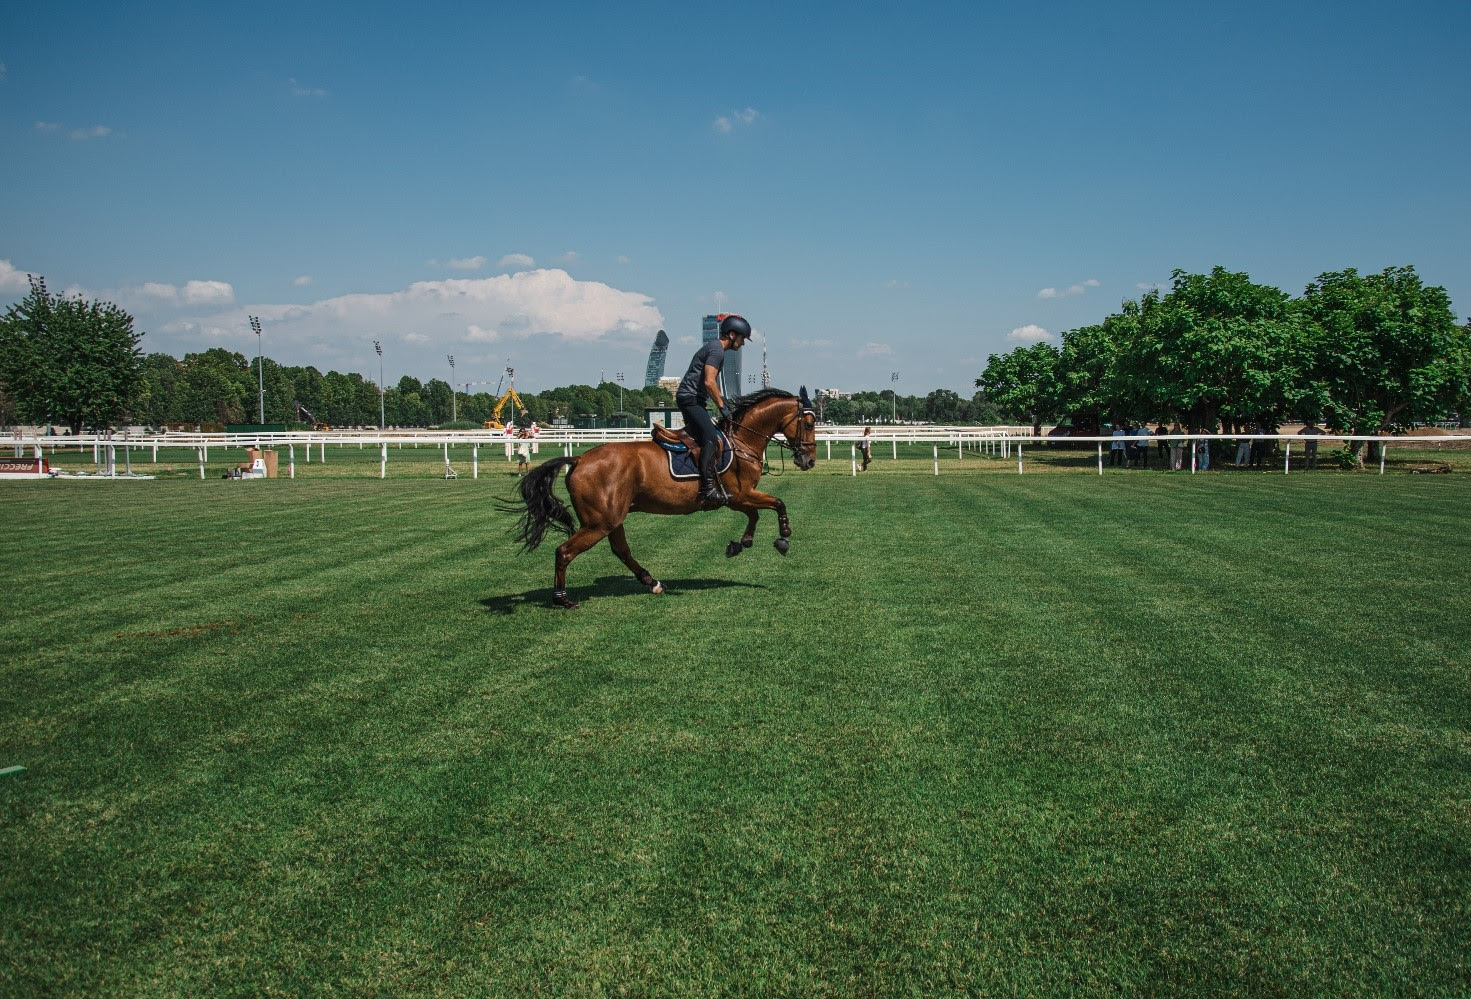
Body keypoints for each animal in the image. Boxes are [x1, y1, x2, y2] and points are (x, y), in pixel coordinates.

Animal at [508, 388, 817, 609]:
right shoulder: (740, 496)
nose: (809, 460)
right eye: (809, 423)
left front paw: (742, 542)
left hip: (612, 518)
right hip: (599, 523)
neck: (740, 442)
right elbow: (776, 503)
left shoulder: (739, 498)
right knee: (565, 551)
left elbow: (756, 514)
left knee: (621, 550)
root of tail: (580, 458)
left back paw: (652, 581)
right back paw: (562, 598)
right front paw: (783, 536)